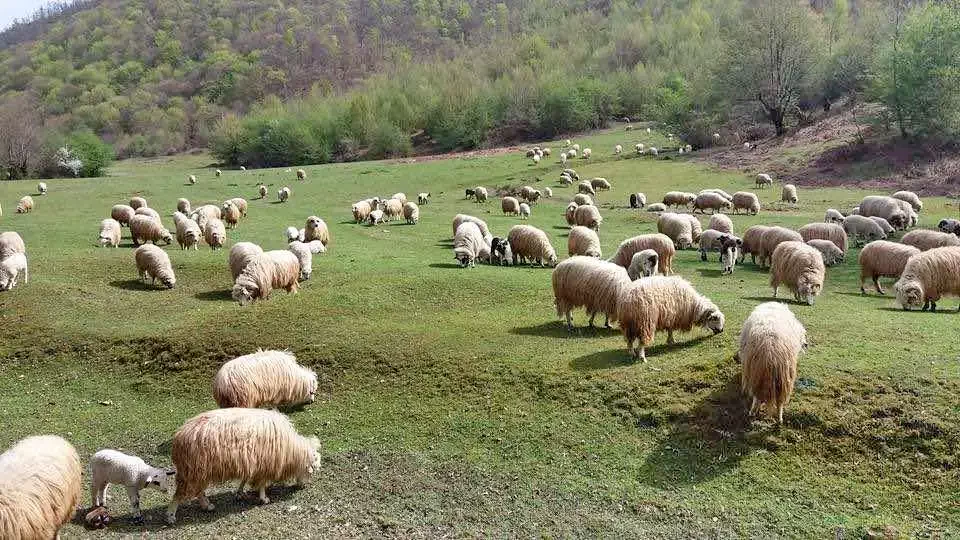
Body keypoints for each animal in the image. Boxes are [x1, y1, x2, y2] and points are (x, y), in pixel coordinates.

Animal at [162, 410, 318, 524]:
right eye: (310, 471)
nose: (304, 486)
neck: (292, 450)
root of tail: (179, 436)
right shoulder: (264, 464)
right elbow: (262, 484)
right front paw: (264, 499)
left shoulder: (249, 463)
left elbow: (245, 478)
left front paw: (240, 492)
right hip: (193, 470)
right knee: (180, 494)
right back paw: (170, 516)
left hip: (199, 472)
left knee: (199, 492)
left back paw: (207, 506)